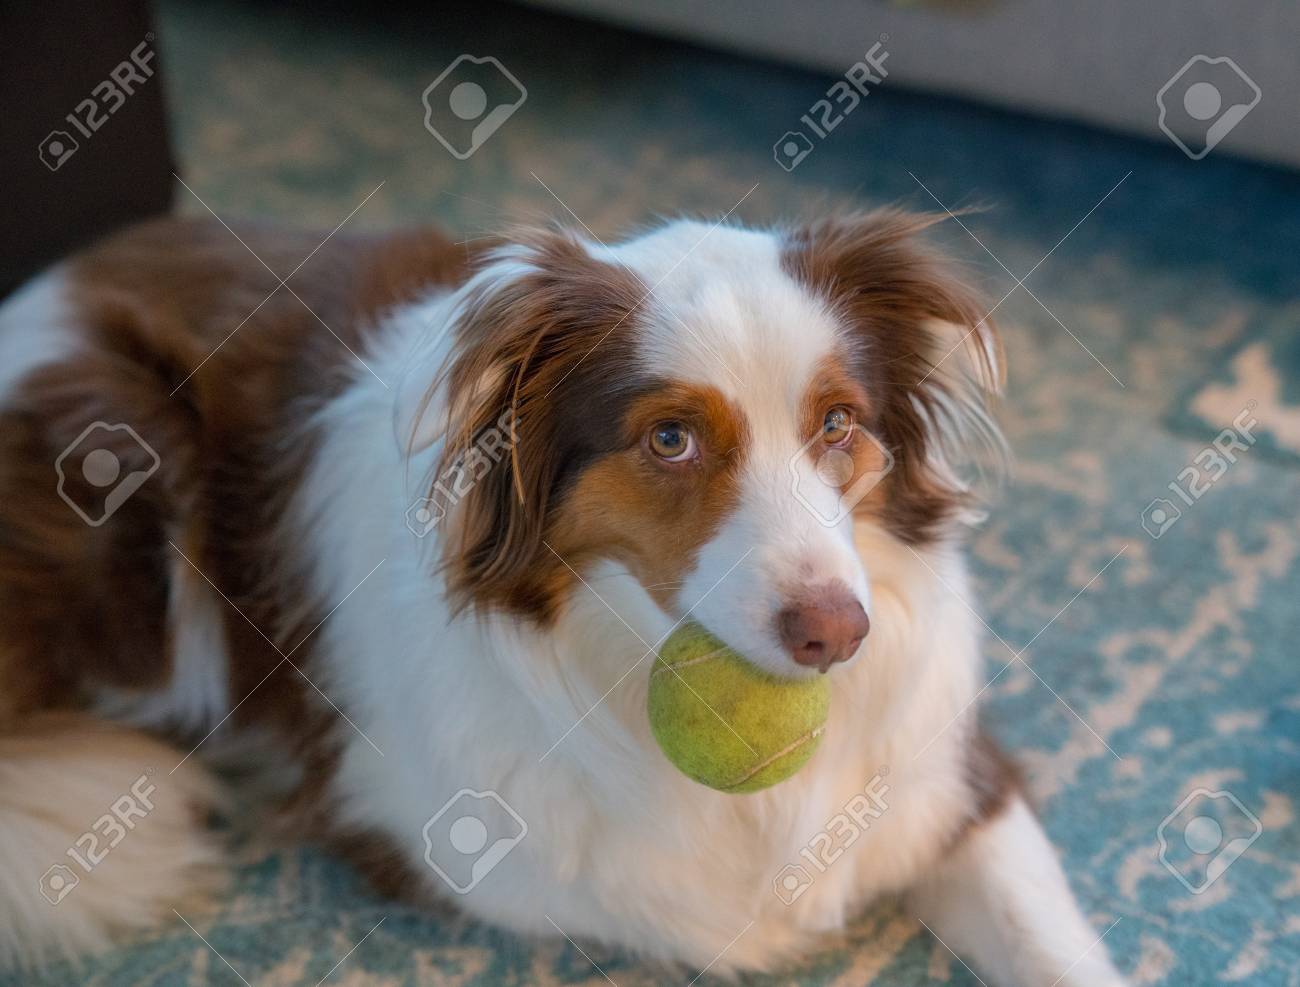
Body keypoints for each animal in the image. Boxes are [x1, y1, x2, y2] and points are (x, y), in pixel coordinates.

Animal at [0, 208, 1118, 983]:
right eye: (670, 439)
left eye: (838, 423)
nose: (836, 635)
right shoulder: (429, 832)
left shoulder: (953, 775)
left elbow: (1047, 939)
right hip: (127, 462)